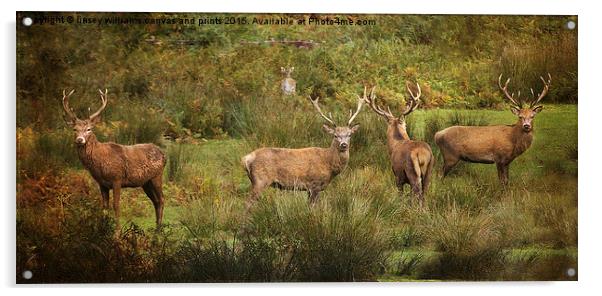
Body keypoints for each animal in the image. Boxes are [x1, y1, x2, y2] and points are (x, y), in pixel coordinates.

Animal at [61, 89, 165, 227]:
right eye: (74, 129)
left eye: (89, 129)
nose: (80, 140)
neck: (100, 163)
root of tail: (164, 155)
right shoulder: (102, 184)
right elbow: (105, 207)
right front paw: (103, 228)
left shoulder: (117, 178)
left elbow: (116, 205)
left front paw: (117, 231)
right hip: (146, 182)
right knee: (156, 201)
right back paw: (156, 227)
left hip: (157, 176)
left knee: (162, 199)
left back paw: (159, 229)